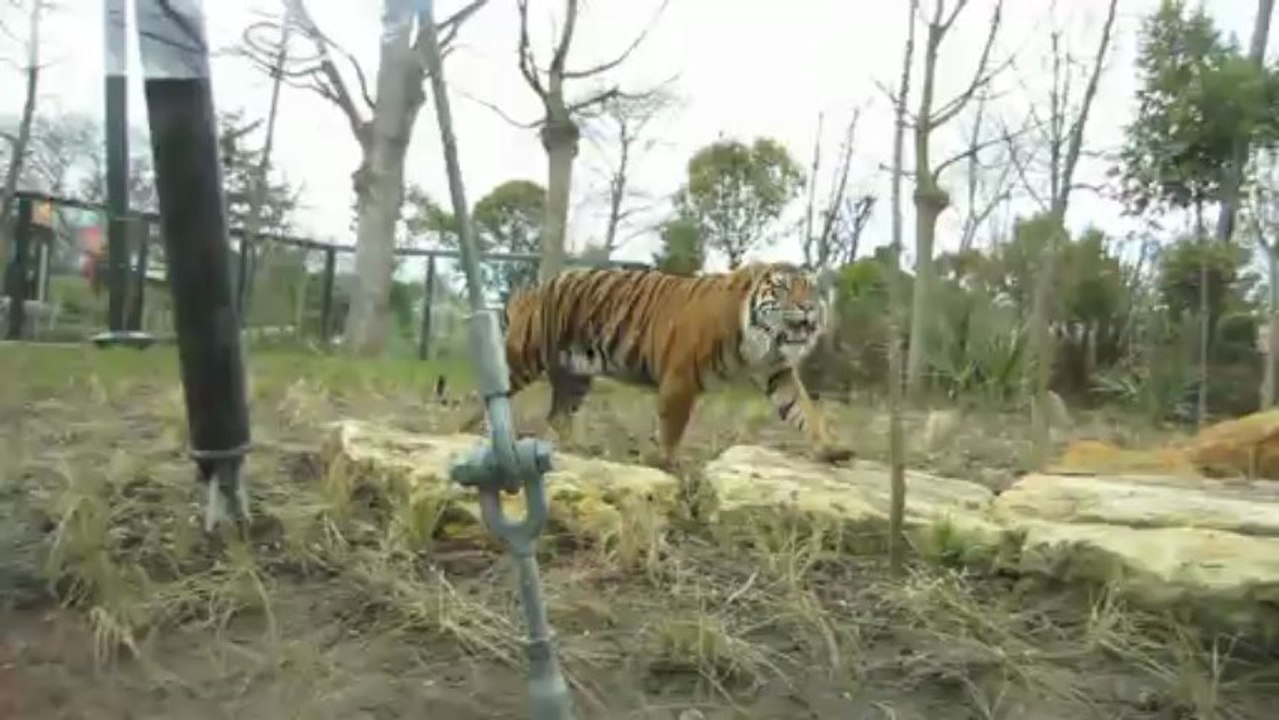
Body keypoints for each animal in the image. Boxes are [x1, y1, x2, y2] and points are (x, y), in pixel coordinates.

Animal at [456, 262, 854, 470]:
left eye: (812, 290)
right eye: (784, 289)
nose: (808, 309)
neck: (760, 341)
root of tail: (531, 291)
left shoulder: (777, 372)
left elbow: (805, 410)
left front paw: (830, 448)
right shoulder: (681, 376)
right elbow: (673, 426)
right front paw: (667, 462)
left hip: (575, 373)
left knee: (557, 414)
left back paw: (579, 451)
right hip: (524, 357)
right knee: (482, 393)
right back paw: (459, 431)